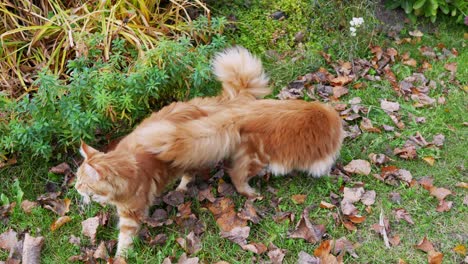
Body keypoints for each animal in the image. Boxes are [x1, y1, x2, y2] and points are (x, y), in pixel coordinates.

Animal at [74, 46, 268, 256]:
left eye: (83, 183)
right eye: (77, 178)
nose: (75, 187)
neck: (124, 166)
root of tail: (213, 106)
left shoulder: (131, 214)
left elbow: (125, 240)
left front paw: (120, 257)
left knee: (190, 174)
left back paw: (180, 189)